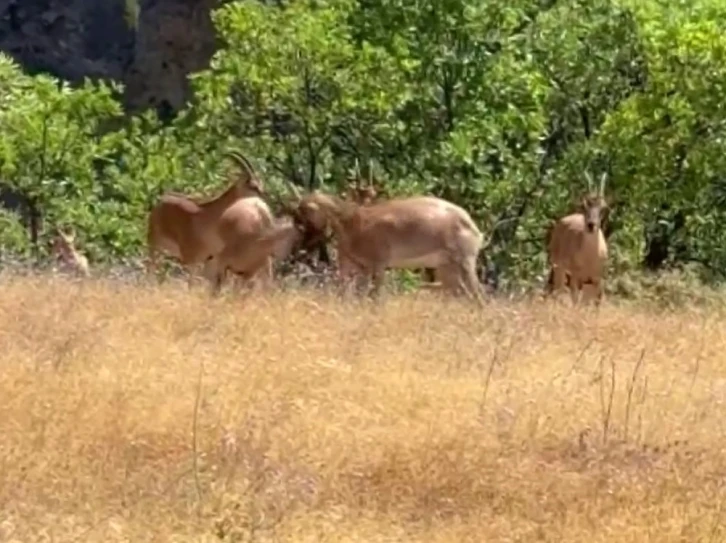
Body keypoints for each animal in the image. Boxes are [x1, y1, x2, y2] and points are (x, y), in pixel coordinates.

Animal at [146, 150, 272, 284]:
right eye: (252, 185)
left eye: (260, 183)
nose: (265, 197)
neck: (207, 216)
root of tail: (160, 202)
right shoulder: (191, 260)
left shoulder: (209, 260)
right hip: (154, 246)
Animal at [288, 183, 486, 302]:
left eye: (304, 212)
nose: (302, 249)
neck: (356, 222)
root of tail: (471, 224)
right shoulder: (361, 269)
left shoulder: (379, 266)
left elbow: (375, 298)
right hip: (446, 269)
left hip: (465, 263)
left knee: (478, 295)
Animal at [548, 172, 612, 304]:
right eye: (584, 206)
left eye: (603, 208)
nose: (591, 225)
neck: (590, 257)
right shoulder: (576, 277)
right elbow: (576, 301)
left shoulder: (596, 279)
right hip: (558, 267)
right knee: (558, 290)